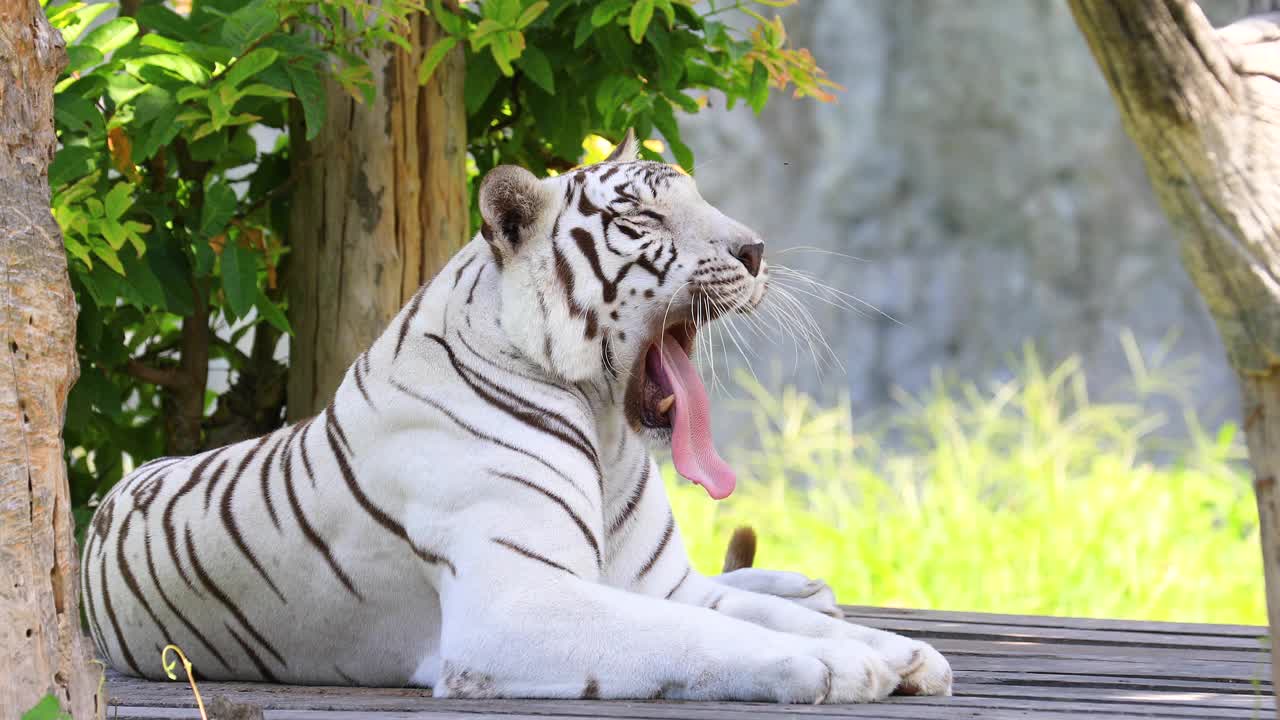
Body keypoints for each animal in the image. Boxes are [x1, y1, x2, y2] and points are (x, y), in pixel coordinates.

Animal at [82, 133, 952, 702]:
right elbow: (718, 635)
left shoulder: (660, 584)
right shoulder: (515, 603)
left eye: (703, 199)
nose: (757, 250)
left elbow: (760, 614)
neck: (608, 434)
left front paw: (903, 654)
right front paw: (843, 671)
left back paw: (809, 588)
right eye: (646, 220)